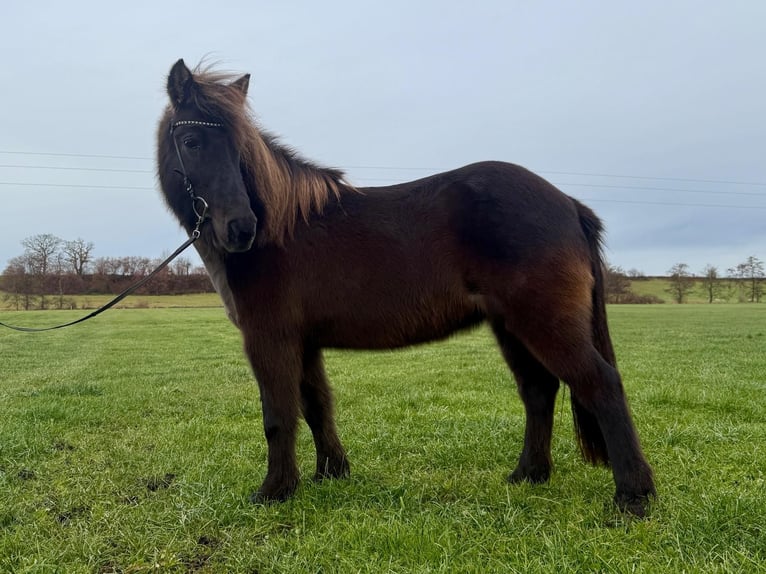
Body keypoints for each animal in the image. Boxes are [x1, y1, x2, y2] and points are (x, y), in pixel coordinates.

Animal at [156, 59, 656, 516]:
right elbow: (317, 404)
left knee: (600, 384)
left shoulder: (269, 338)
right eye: (191, 141)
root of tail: (568, 204)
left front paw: (275, 491)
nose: (241, 228)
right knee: (538, 390)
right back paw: (528, 474)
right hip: (511, 327)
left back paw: (633, 497)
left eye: (240, 147)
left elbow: (278, 414)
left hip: (544, 322)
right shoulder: (304, 342)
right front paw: (330, 473)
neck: (282, 226)